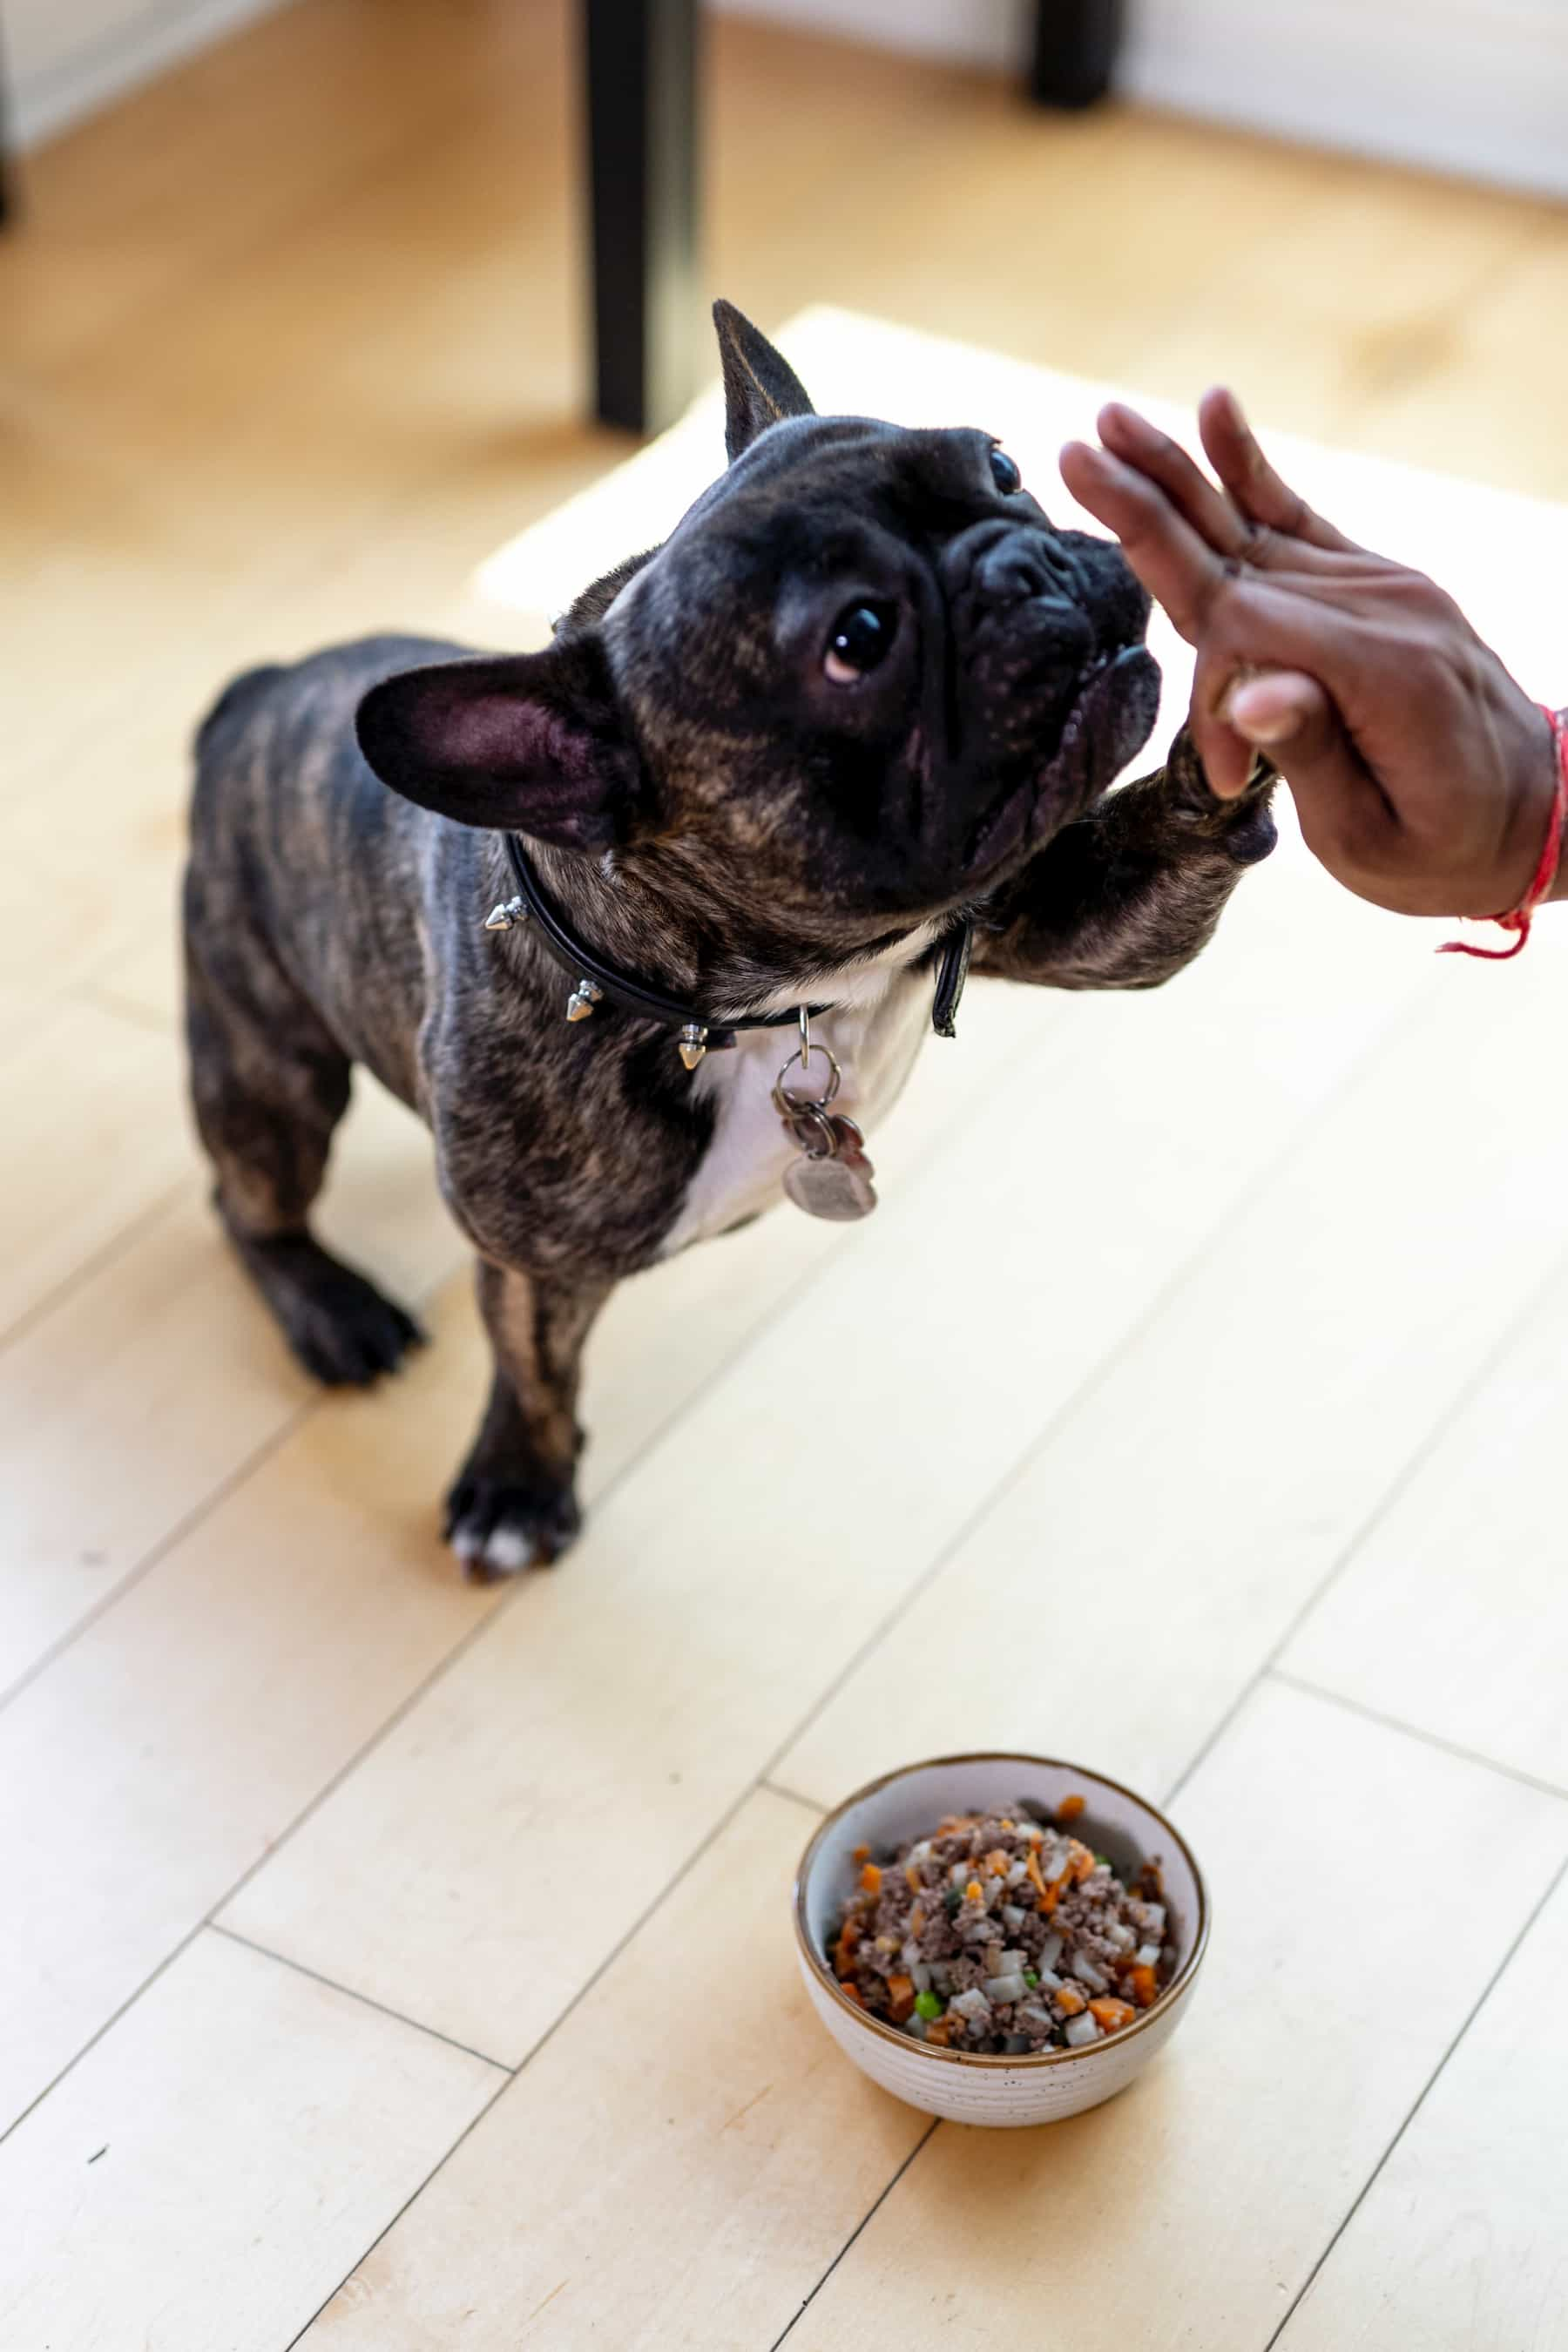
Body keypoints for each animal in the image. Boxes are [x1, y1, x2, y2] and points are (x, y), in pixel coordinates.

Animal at [186, 303, 1279, 1571]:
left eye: (1003, 467)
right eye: (859, 638)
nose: (1031, 563)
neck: (767, 998)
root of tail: (257, 695)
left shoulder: (1049, 908)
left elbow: (1155, 880)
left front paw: (1254, 693)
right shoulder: (535, 1255)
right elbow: (533, 1358)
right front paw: (520, 1481)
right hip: (265, 1056)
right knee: (250, 1197)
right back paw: (334, 1310)